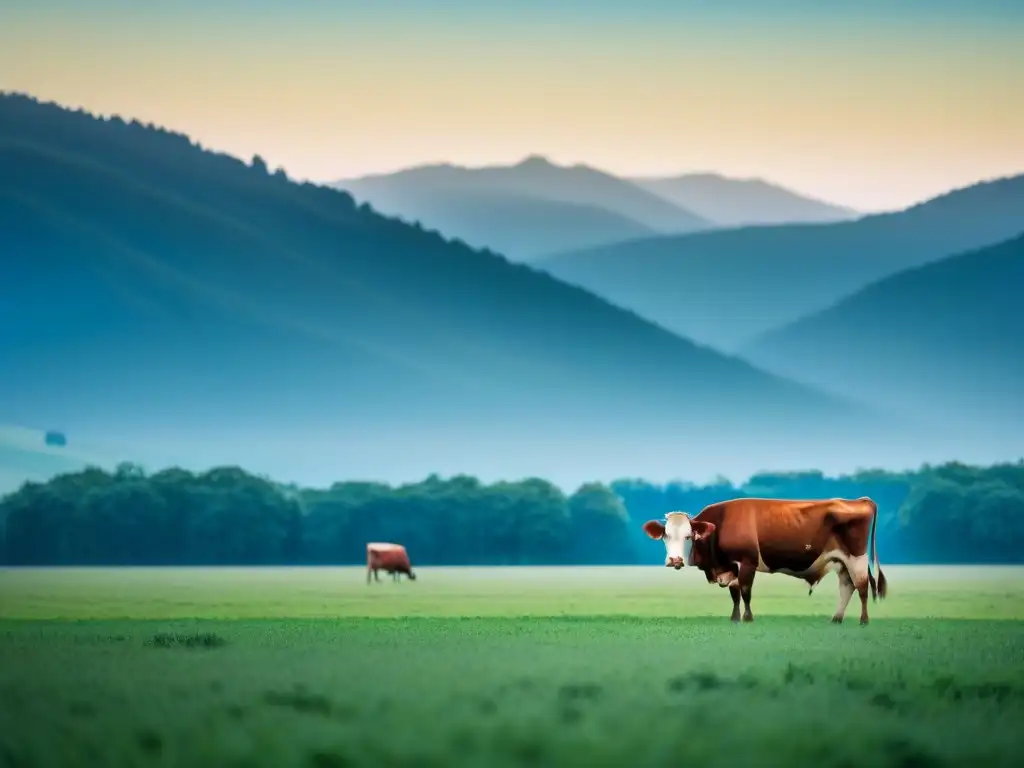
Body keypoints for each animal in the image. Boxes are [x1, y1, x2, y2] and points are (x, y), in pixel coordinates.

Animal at [638, 499, 888, 626]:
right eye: (666, 536)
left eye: (689, 536)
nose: (675, 560)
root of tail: (860, 500)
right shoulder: (730, 567)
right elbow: (735, 593)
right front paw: (734, 618)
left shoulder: (746, 562)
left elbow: (746, 591)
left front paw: (748, 618)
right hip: (842, 561)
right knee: (847, 586)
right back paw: (836, 618)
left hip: (856, 558)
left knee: (862, 587)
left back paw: (864, 620)